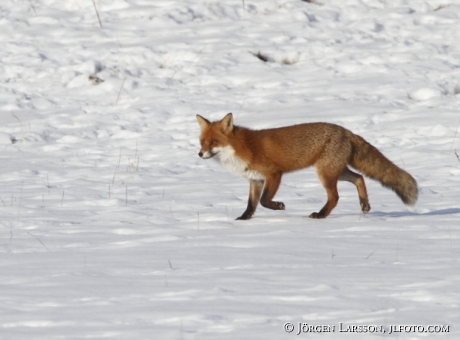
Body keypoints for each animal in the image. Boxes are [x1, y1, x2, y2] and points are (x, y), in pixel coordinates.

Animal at [196, 113, 418, 220]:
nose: (199, 154)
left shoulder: (274, 174)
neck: (242, 148)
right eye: (202, 142)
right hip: (336, 171)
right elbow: (251, 205)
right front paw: (242, 220)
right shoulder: (255, 180)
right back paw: (364, 205)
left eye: (213, 142)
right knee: (359, 178)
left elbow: (265, 201)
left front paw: (279, 206)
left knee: (335, 197)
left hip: (325, 173)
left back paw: (320, 215)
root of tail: (346, 131)